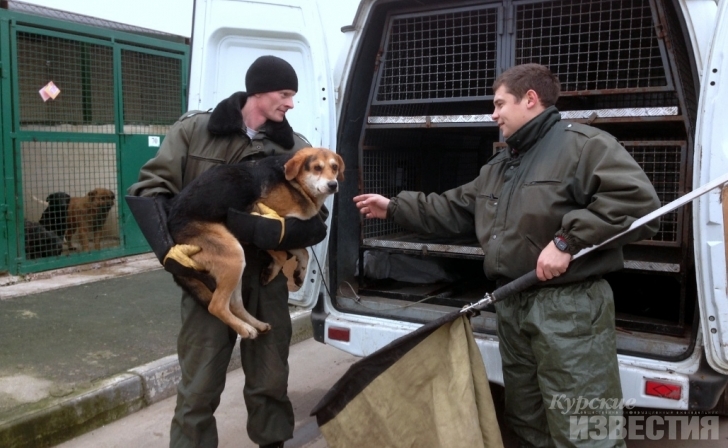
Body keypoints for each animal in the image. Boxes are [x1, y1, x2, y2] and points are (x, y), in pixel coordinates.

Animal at [166, 147, 344, 339]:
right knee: (216, 306)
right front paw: (272, 271)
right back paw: (245, 328)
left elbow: (302, 252)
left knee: (234, 305)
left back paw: (256, 324)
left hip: (235, 266)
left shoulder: (289, 230)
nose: (333, 185)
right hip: (234, 254)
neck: (294, 183)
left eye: (334, 167)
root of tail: (172, 227)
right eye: (317, 168)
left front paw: (299, 273)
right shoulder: (260, 217)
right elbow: (280, 253)